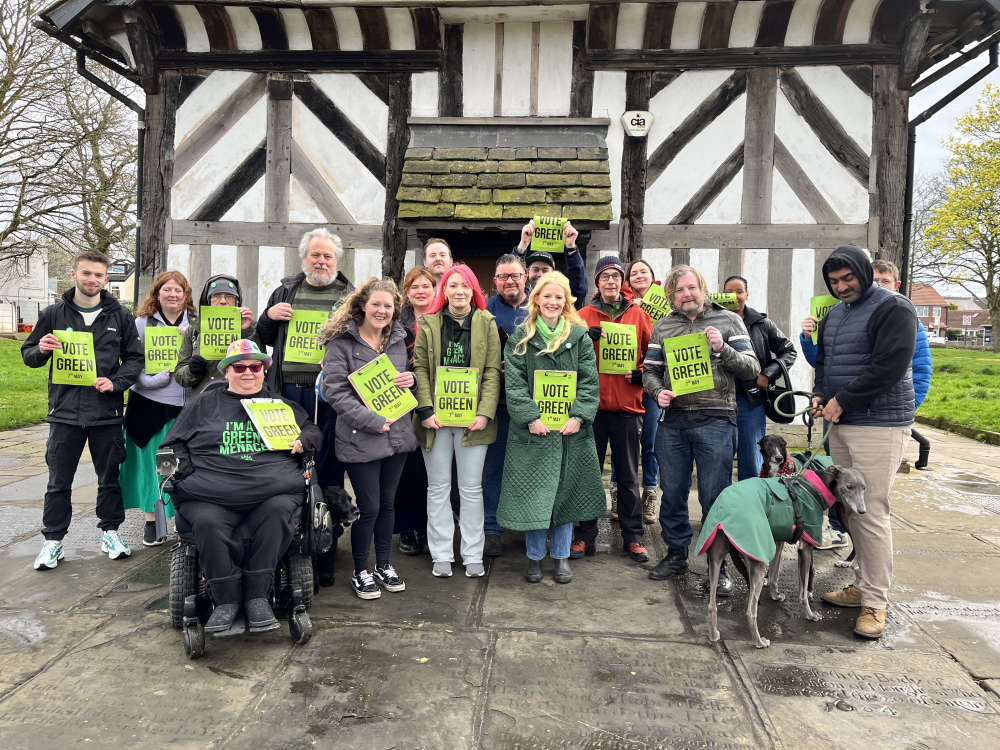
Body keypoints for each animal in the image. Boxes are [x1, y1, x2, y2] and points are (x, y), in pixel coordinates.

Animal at [696, 463, 867, 648]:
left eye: (864, 488)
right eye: (849, 486)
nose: (862, 511)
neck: (815, 486)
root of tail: (724, 513)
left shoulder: (778, 540)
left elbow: (774, 573)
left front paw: (775, 595)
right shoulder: (805, 548)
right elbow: (803, 590)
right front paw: (810, 614)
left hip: (716, 558)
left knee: (712, 605)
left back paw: (713, 635)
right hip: (757, 559)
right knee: (750, 611)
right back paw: (759, 641)